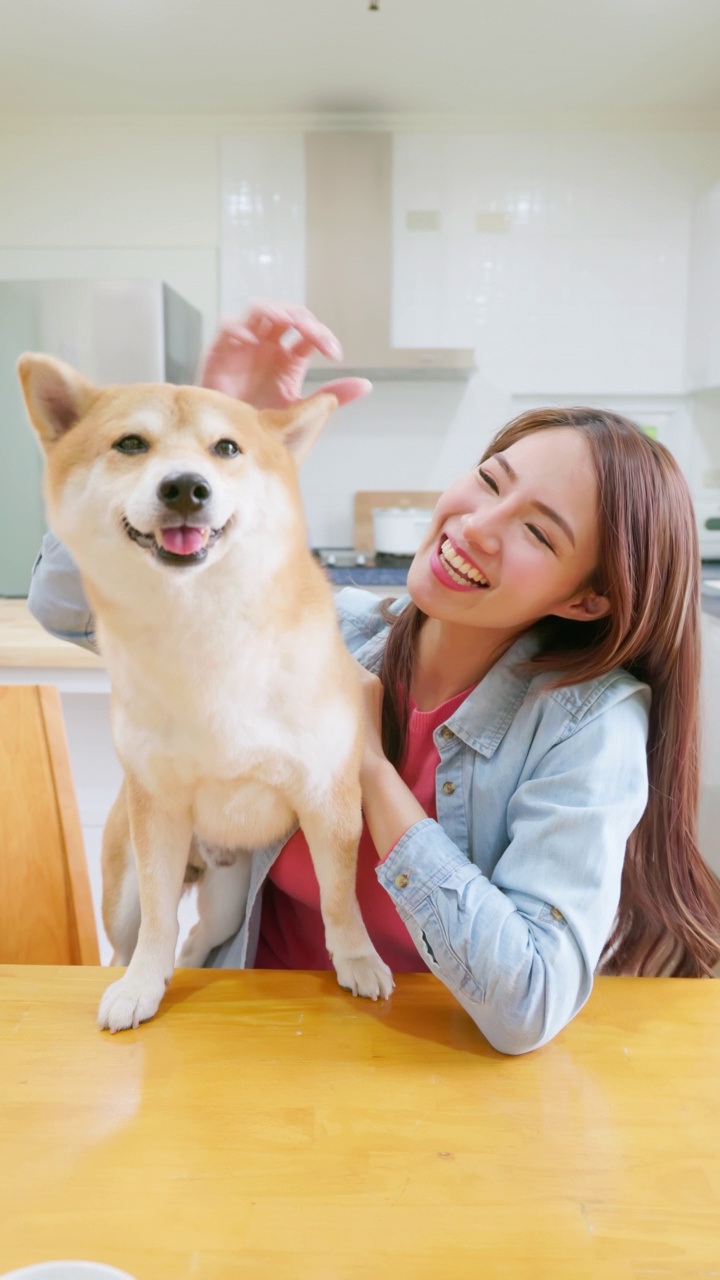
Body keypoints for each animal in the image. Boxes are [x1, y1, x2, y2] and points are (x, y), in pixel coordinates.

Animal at [19, 355, 392, 1034]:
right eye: (130, 444)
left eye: (227, 449)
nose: (186, 487)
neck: (204, 631)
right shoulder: (159, 809)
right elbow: (158, 923)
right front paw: (141, 988)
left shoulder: (329, 797)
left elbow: (339, 899)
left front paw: (358, 962)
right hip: (130, 880)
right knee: (136, 937)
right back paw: (134, 974)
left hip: (227, 892)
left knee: (198, 938)